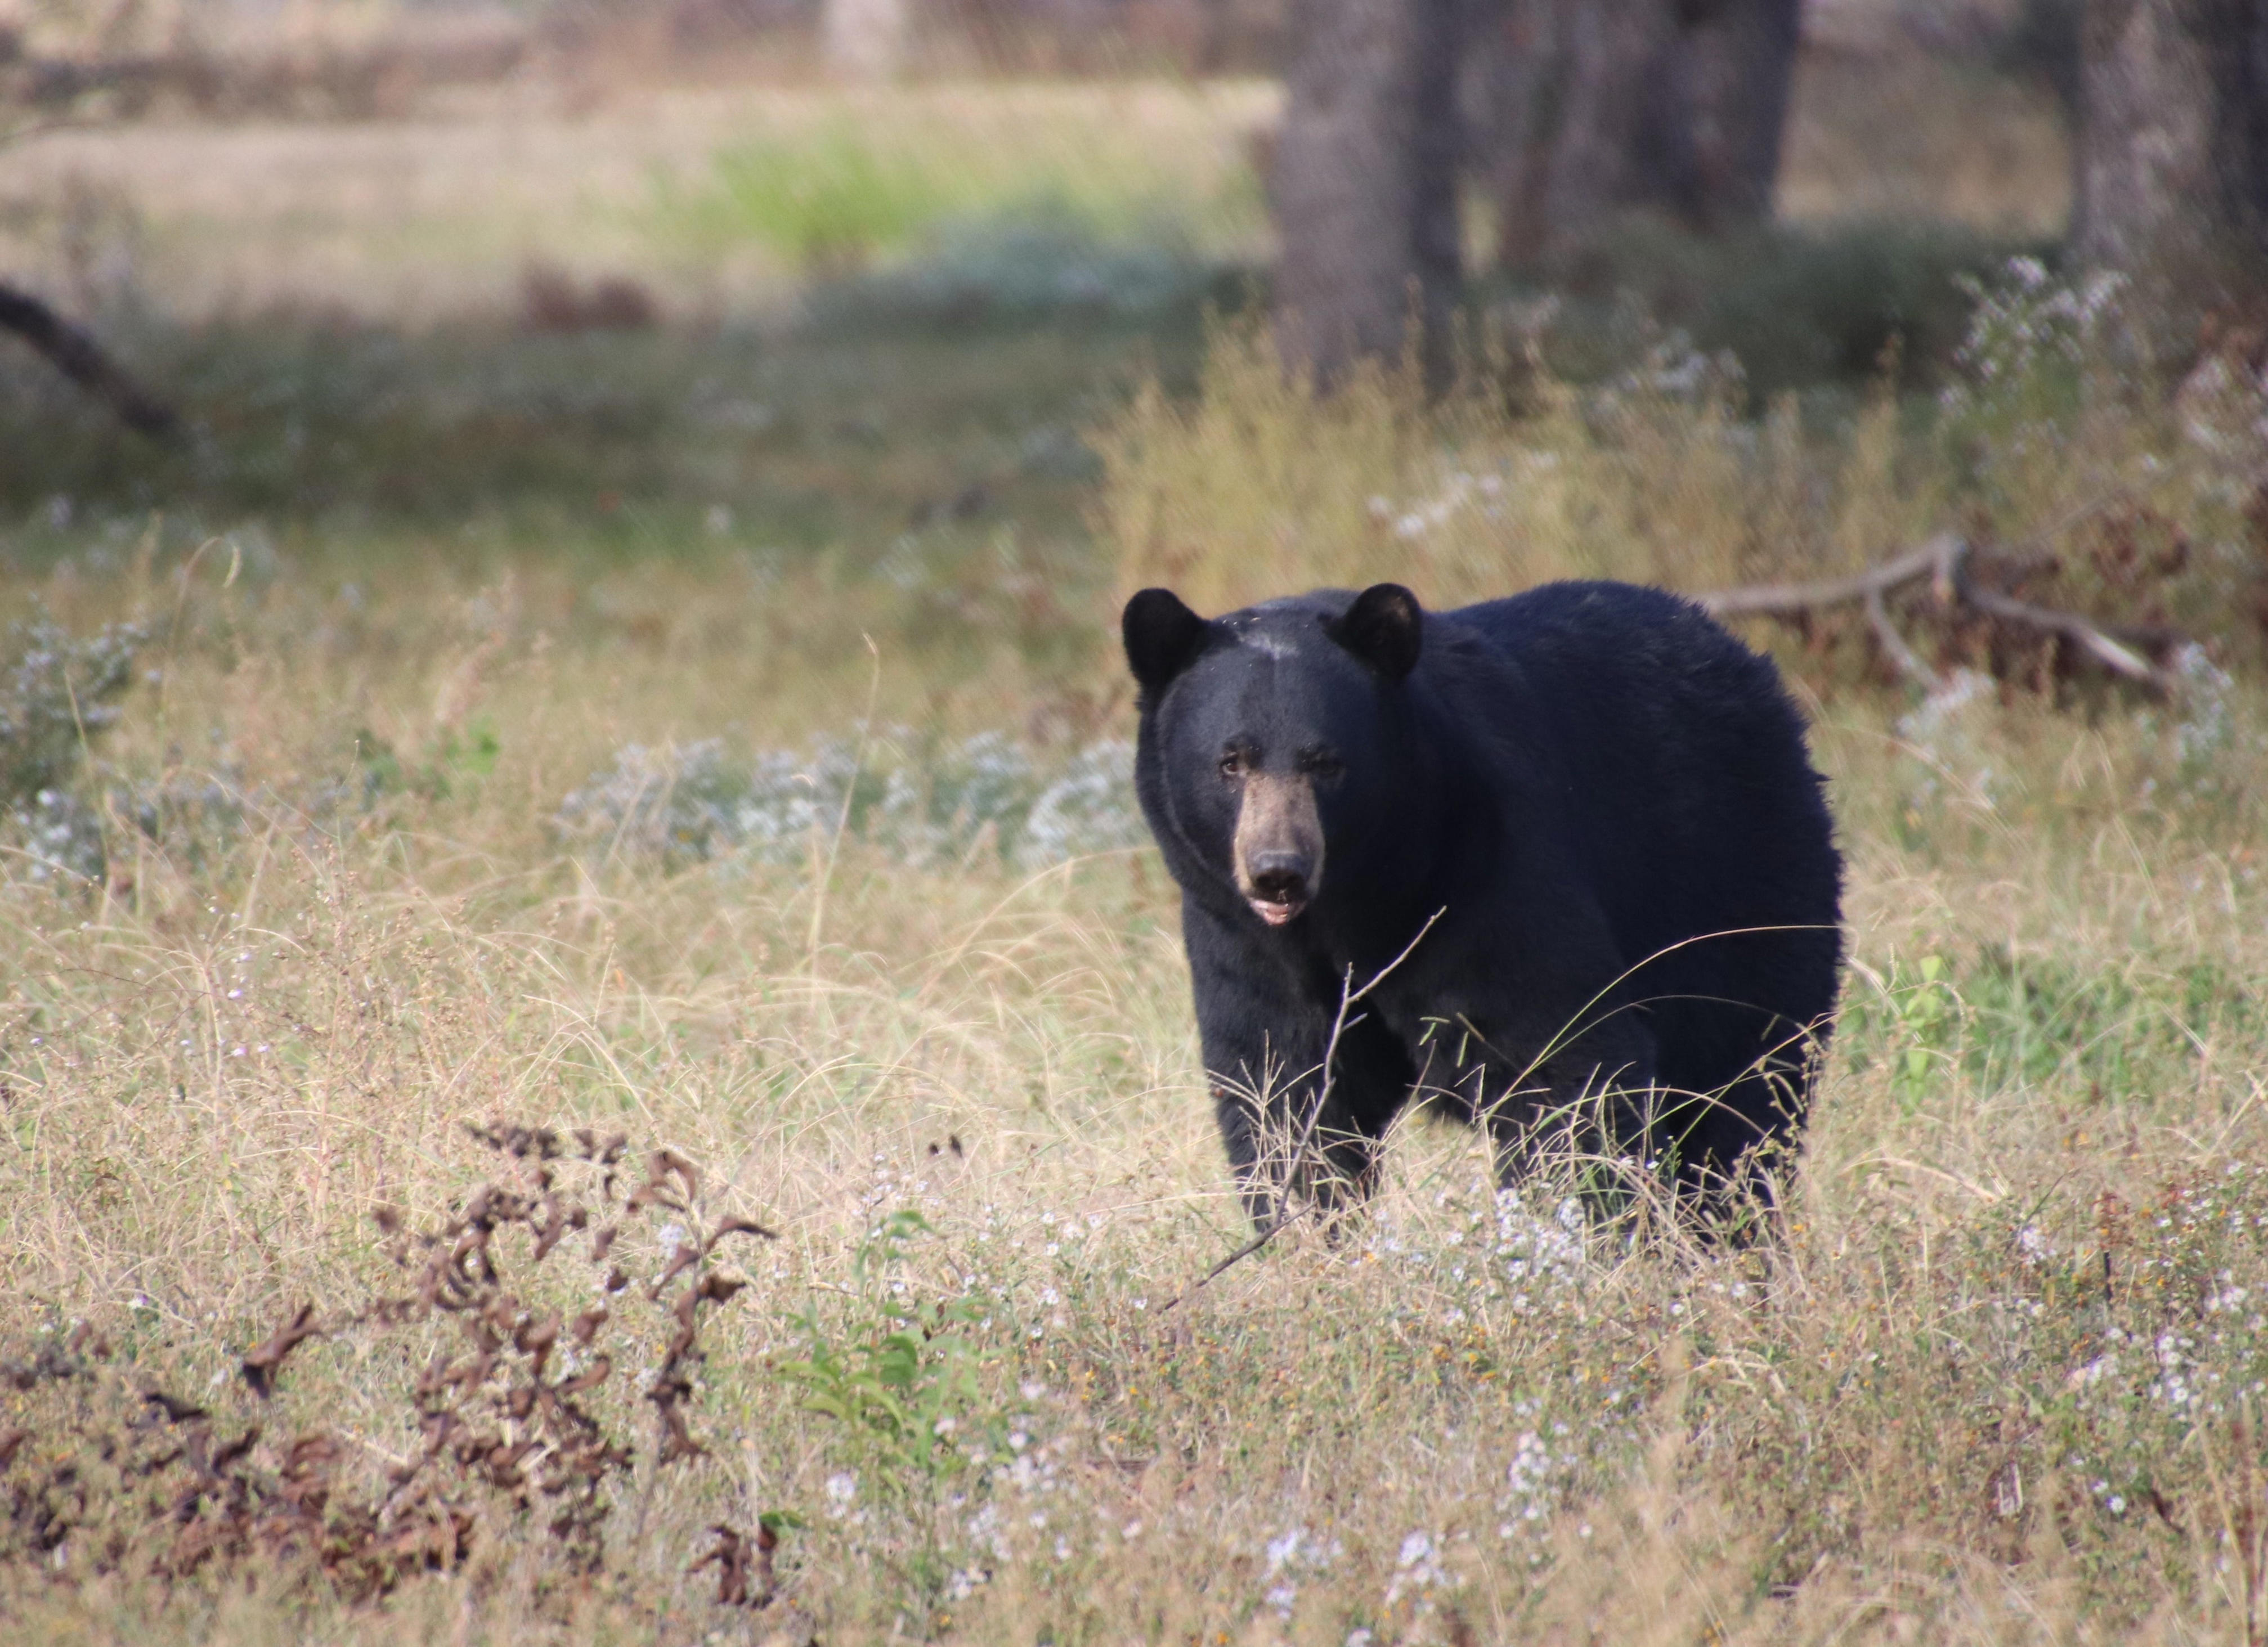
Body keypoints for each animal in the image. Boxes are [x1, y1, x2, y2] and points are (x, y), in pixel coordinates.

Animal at [1121, 579, 1843, 1229]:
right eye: (1230, 762)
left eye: (1325, 761)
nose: (1278, 872)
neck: (1359, 902)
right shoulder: (1240, 938)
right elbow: (1283, 1087)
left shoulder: (1489, 877)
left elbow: (1558, 1062)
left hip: (1738, 886)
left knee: (1742, 1092)